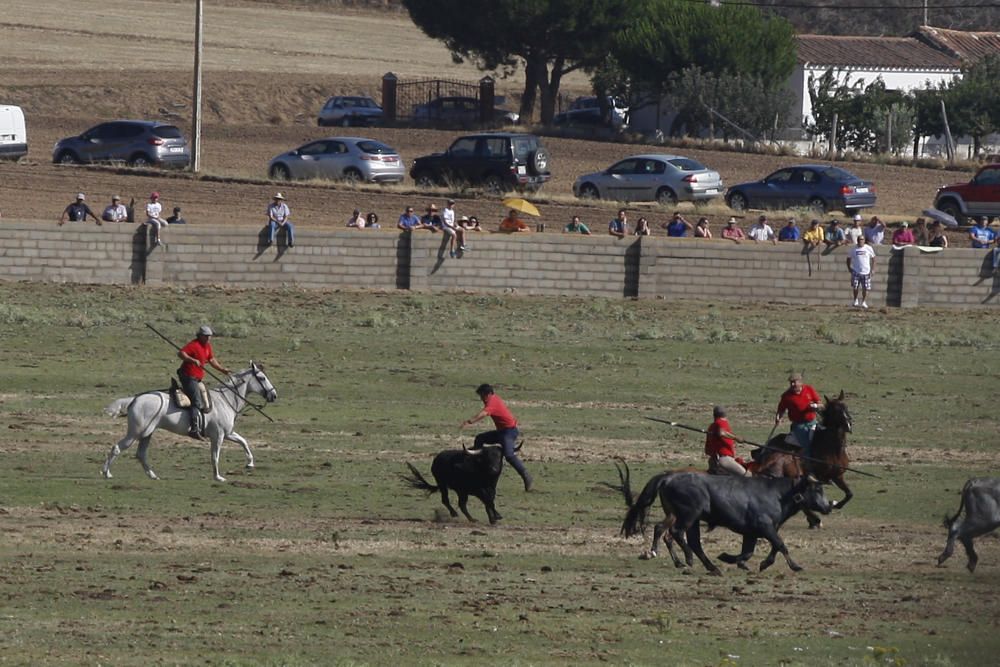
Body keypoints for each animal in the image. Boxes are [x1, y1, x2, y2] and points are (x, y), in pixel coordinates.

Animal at [103, 362, 276, 482]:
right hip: (135, 433)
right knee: (117, 448)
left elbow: (243, 441)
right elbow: (215, 456)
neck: (226, 399)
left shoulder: (228, 433)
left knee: (141, 454)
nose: (273, 395)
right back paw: (106, 473)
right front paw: (218, 477)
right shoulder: (218, 436)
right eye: (262, 378)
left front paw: (250, 463)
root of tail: (135, 399)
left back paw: (153, 475)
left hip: (147, 433)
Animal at [616, 470, 836, 576]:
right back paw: (687, 559)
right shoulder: (765, 526)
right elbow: (780, 545)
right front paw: (796, 566)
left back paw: (708, 566)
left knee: (681, 537)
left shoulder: (754, 532)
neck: (778, 494)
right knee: (677, 534)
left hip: (688, 519)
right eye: (817, 489)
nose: (828, 507)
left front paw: (737, 560)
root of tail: (668, 477)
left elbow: (753, 551)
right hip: (689, 515)